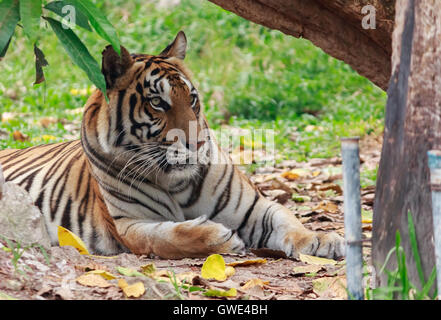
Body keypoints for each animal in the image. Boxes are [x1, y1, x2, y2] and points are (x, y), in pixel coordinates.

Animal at [0, 31, 344, 258]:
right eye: (157, 103)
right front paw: (218, 237)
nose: (198, 142)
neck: (177, 183)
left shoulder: (254, 207)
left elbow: (287, 218)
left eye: (191, 98)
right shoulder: (129, 224)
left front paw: (321, 240)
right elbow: (166, 237)